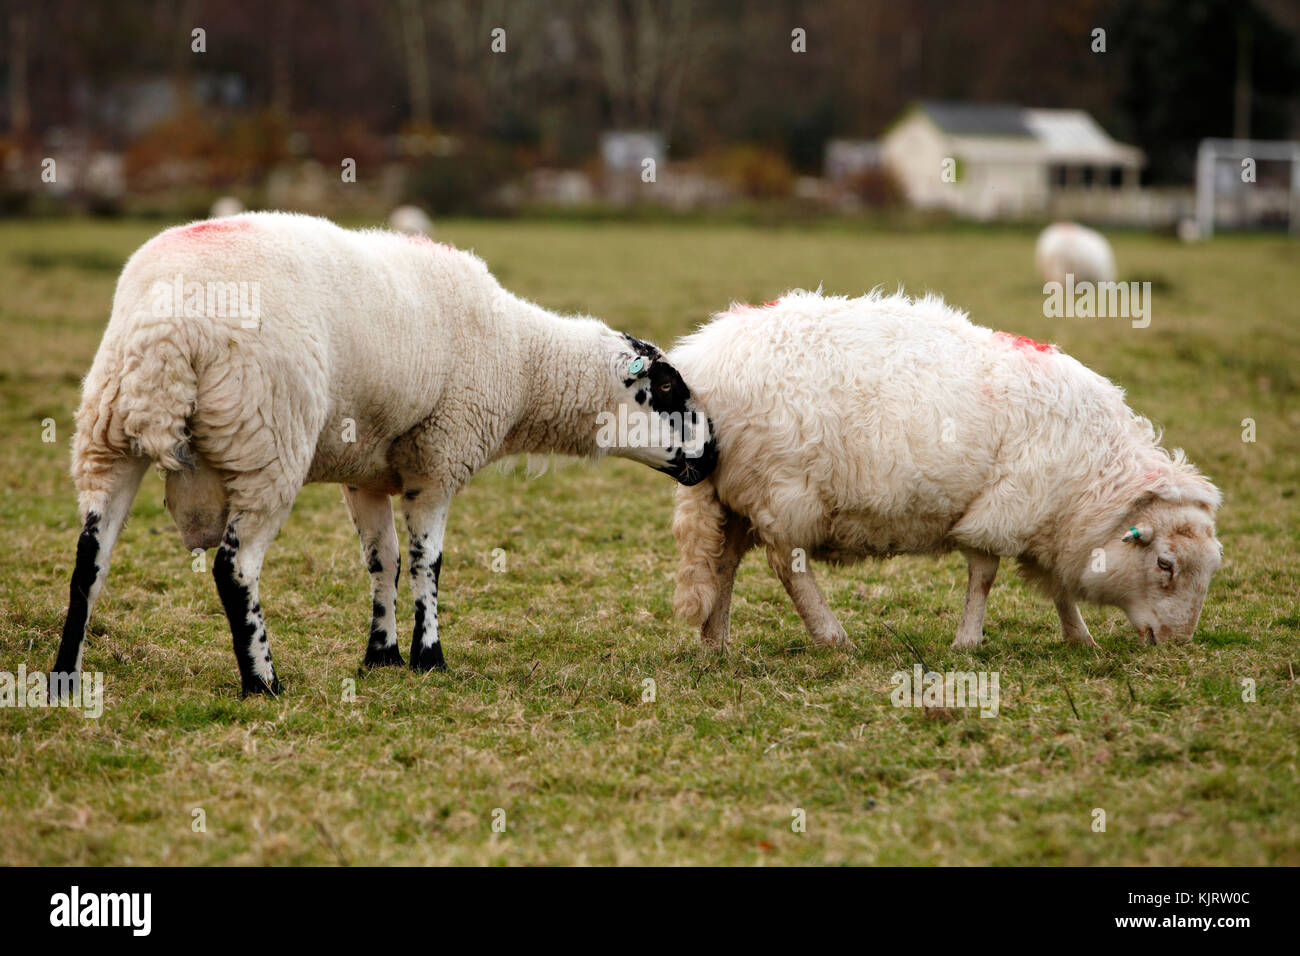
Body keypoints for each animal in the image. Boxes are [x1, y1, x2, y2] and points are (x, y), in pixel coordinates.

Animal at [53, 210, 722, 697]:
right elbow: (429, 563)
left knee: (90, 562)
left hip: (107, 436)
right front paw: (430, 657)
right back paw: (263, 683)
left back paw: (64, 679)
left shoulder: (366, 473)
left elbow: (384, 562)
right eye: (669, 390)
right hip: (267, 442)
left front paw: (383, 654)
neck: (523, 363)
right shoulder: (440, 457)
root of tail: (164, 330)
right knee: (233, 568)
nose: (714, 453)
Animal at [670, 287, 1216, 655]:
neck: (1094, 478)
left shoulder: (1049, 520)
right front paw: (968, 642)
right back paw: (832, 637)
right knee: (788, 565)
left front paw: (1080, 638)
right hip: (783, 488)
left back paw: (716, 642)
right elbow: (985, 577)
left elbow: (1059, 587)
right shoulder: (1007, 505)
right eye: (1165, 564)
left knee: (724, 562)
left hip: (732, 494)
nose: (1176, 644)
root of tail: (703, 358)